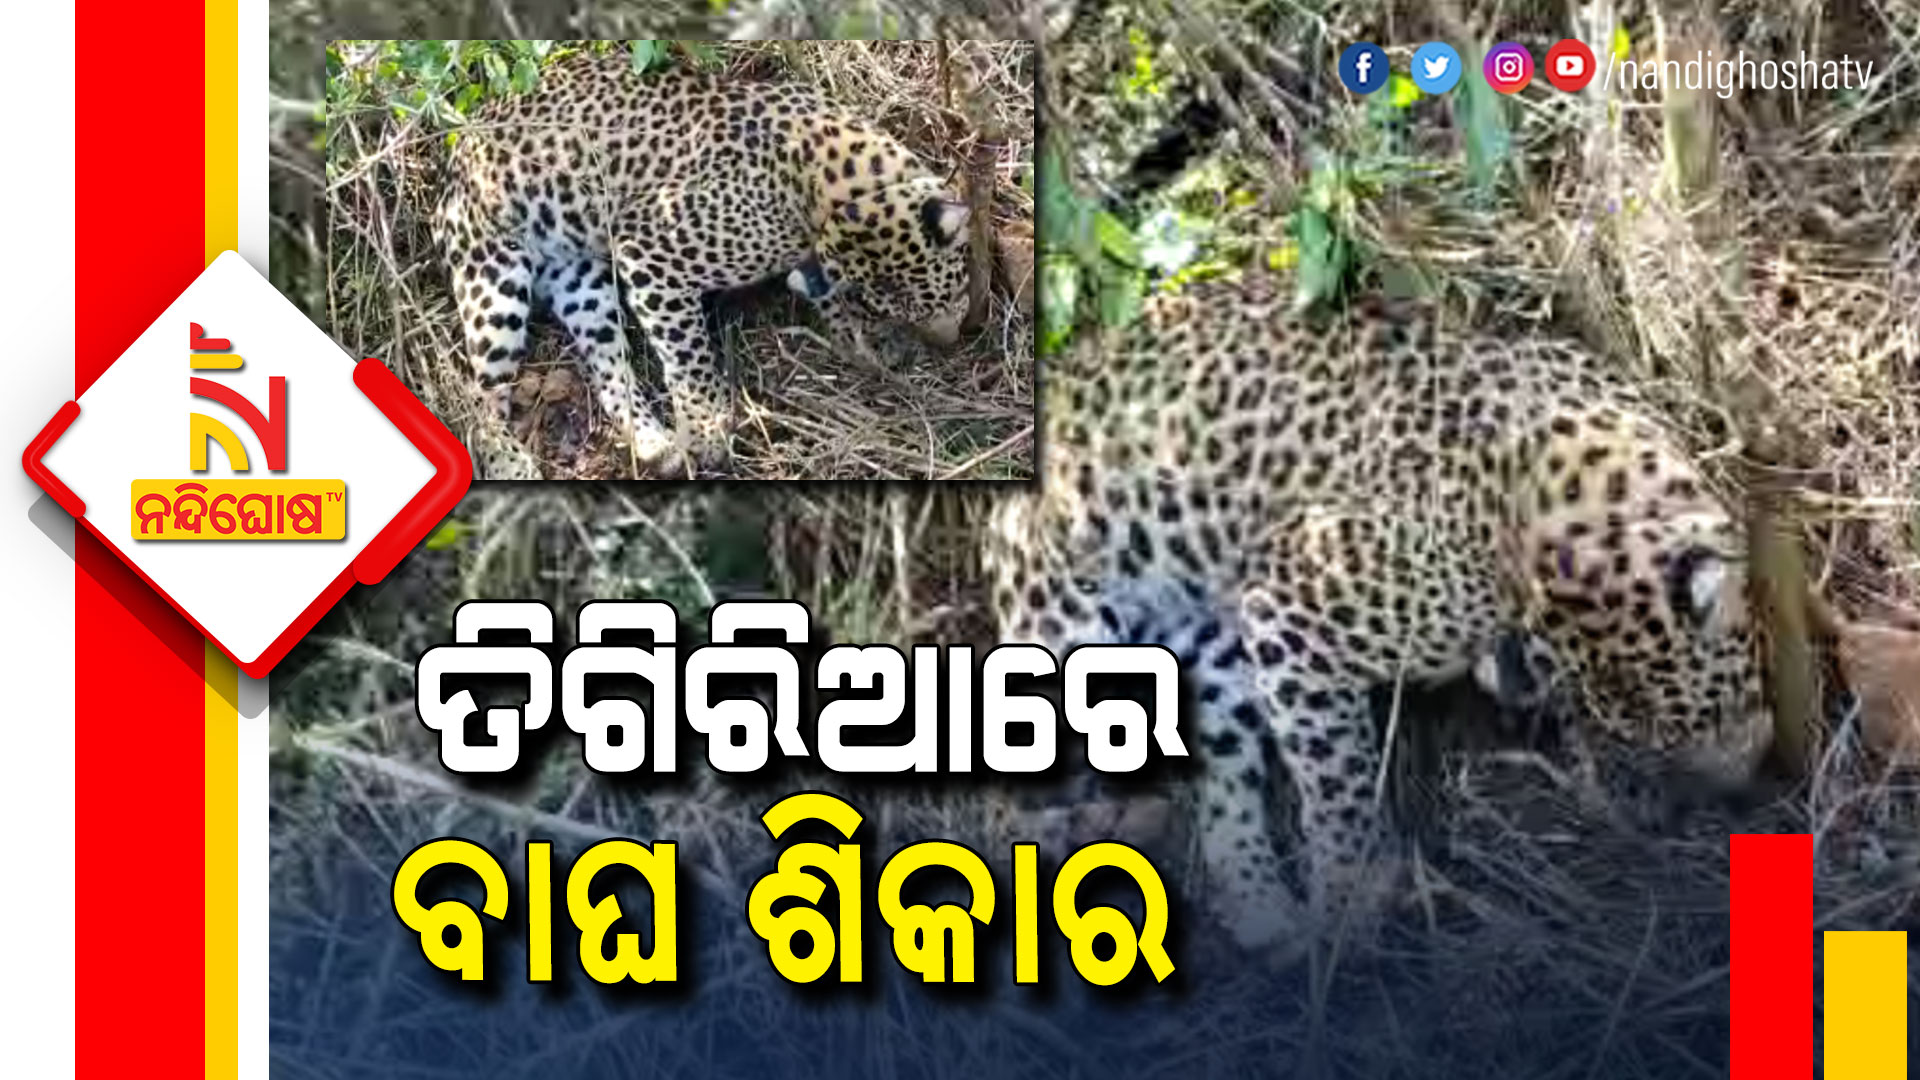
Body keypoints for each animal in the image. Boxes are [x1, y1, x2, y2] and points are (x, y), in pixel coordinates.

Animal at [433, 49, 976, 469]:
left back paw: (655, 443)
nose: (951, 341)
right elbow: (688, 353)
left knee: (608, 365)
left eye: (942, 296)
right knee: (479, 396)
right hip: (493, 279)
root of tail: (460, 148)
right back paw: (510, 461)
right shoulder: (649, 247)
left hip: (582, 282)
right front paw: (709, 429)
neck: (841, 194)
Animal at [987, 275, 1774, 949]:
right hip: (1059, 636)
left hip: (1215, 649)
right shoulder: (1294, 602)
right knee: (1007, 811)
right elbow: (1337, 777)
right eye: (1660, 736)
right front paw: (1353, 893)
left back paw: (1262, 911)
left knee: (1223, 783)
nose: (1731, 795)